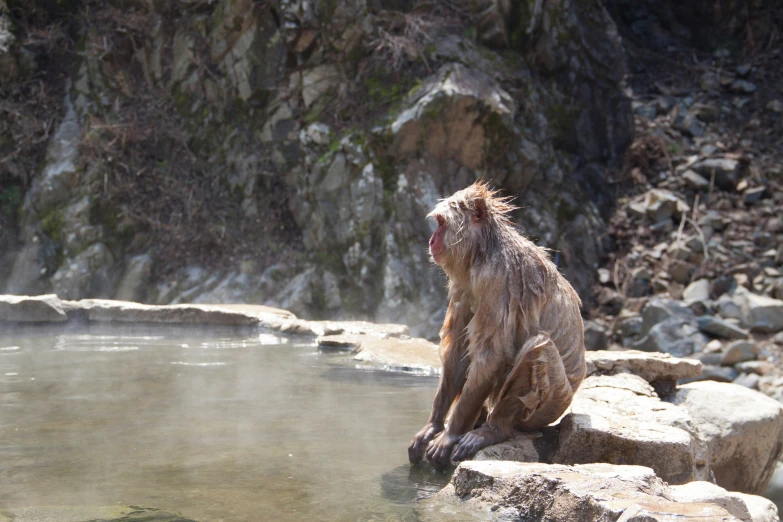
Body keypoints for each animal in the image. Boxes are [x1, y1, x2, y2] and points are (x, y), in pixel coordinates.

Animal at [410, 180, 580, 468]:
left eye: (441, 224)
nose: (432, 240)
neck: (482, 251)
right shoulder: (463, 282)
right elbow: (459, 351)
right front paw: (434, 426)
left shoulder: (497, 278)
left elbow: (493, 354)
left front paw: (450, 434)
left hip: (550, 405)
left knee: (538, 347)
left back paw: (492, 429)